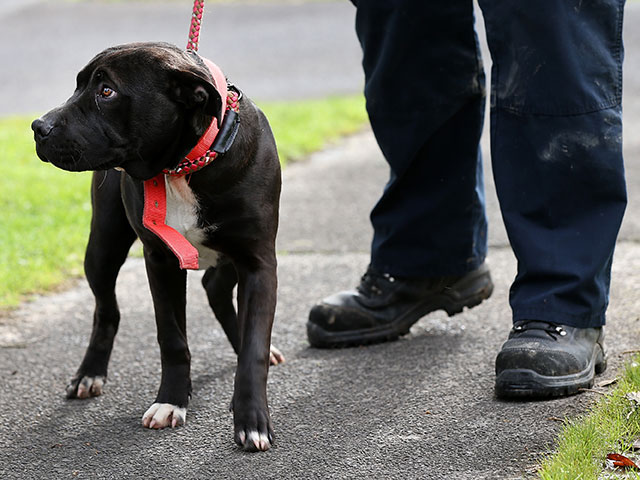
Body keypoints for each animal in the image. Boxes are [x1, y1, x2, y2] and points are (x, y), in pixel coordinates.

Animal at [32, 41, 282, 450]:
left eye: (106, 91)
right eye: (78, 85)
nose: (38, 127)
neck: (183, 167)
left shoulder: (258, 262)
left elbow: (254, 347)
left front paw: (252, 420)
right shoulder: (161, 260)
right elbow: (172, 337)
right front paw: (171, 401)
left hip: (230, 256)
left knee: (215, 288)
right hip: (102, 248)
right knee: (106, 311)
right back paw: (89, 374)